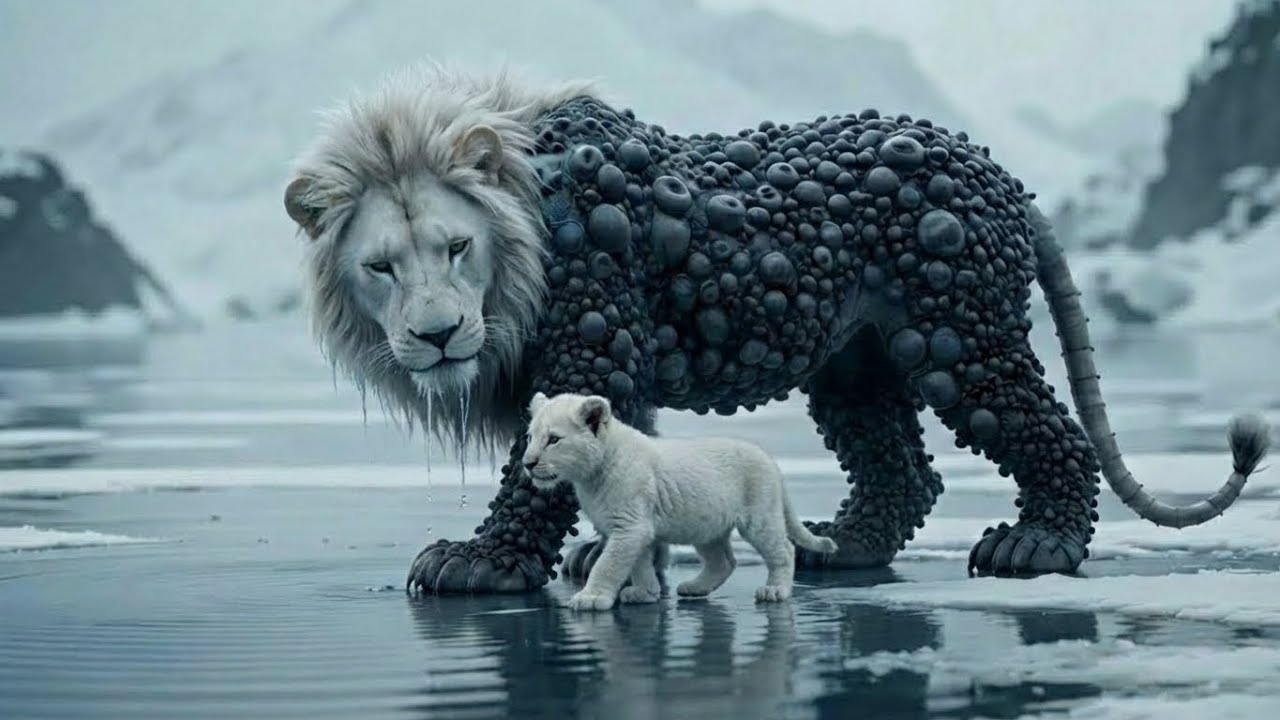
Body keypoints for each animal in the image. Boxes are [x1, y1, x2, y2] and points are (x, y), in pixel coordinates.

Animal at [282, 64, 1270, 595]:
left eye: (456, 247)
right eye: (381, 266)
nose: (440, 335)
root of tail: (999, 172)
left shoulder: (594, 334)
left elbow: (538, 481)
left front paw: (478, 561)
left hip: (962, 334)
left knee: (1049, 432)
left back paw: (1038, 546)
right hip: (855, 364)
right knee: (901, 468)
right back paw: (839, 547)